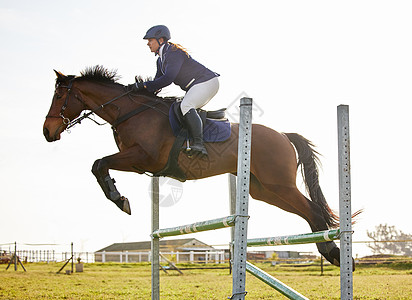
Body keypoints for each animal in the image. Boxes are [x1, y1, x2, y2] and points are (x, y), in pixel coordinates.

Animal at [43, 65, 348, 268]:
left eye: (58, 97)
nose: (47, 132)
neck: (130, 112)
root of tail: (283, 135)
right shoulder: (139, 162)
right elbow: (99, 165)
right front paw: (120, 198)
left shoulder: (143, 157)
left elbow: (99, 163)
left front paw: (120, 200)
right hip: (264, 190)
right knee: (308, 211)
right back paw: (330, 251)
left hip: (279, 184)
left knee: (313, 209)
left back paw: (333, 251)